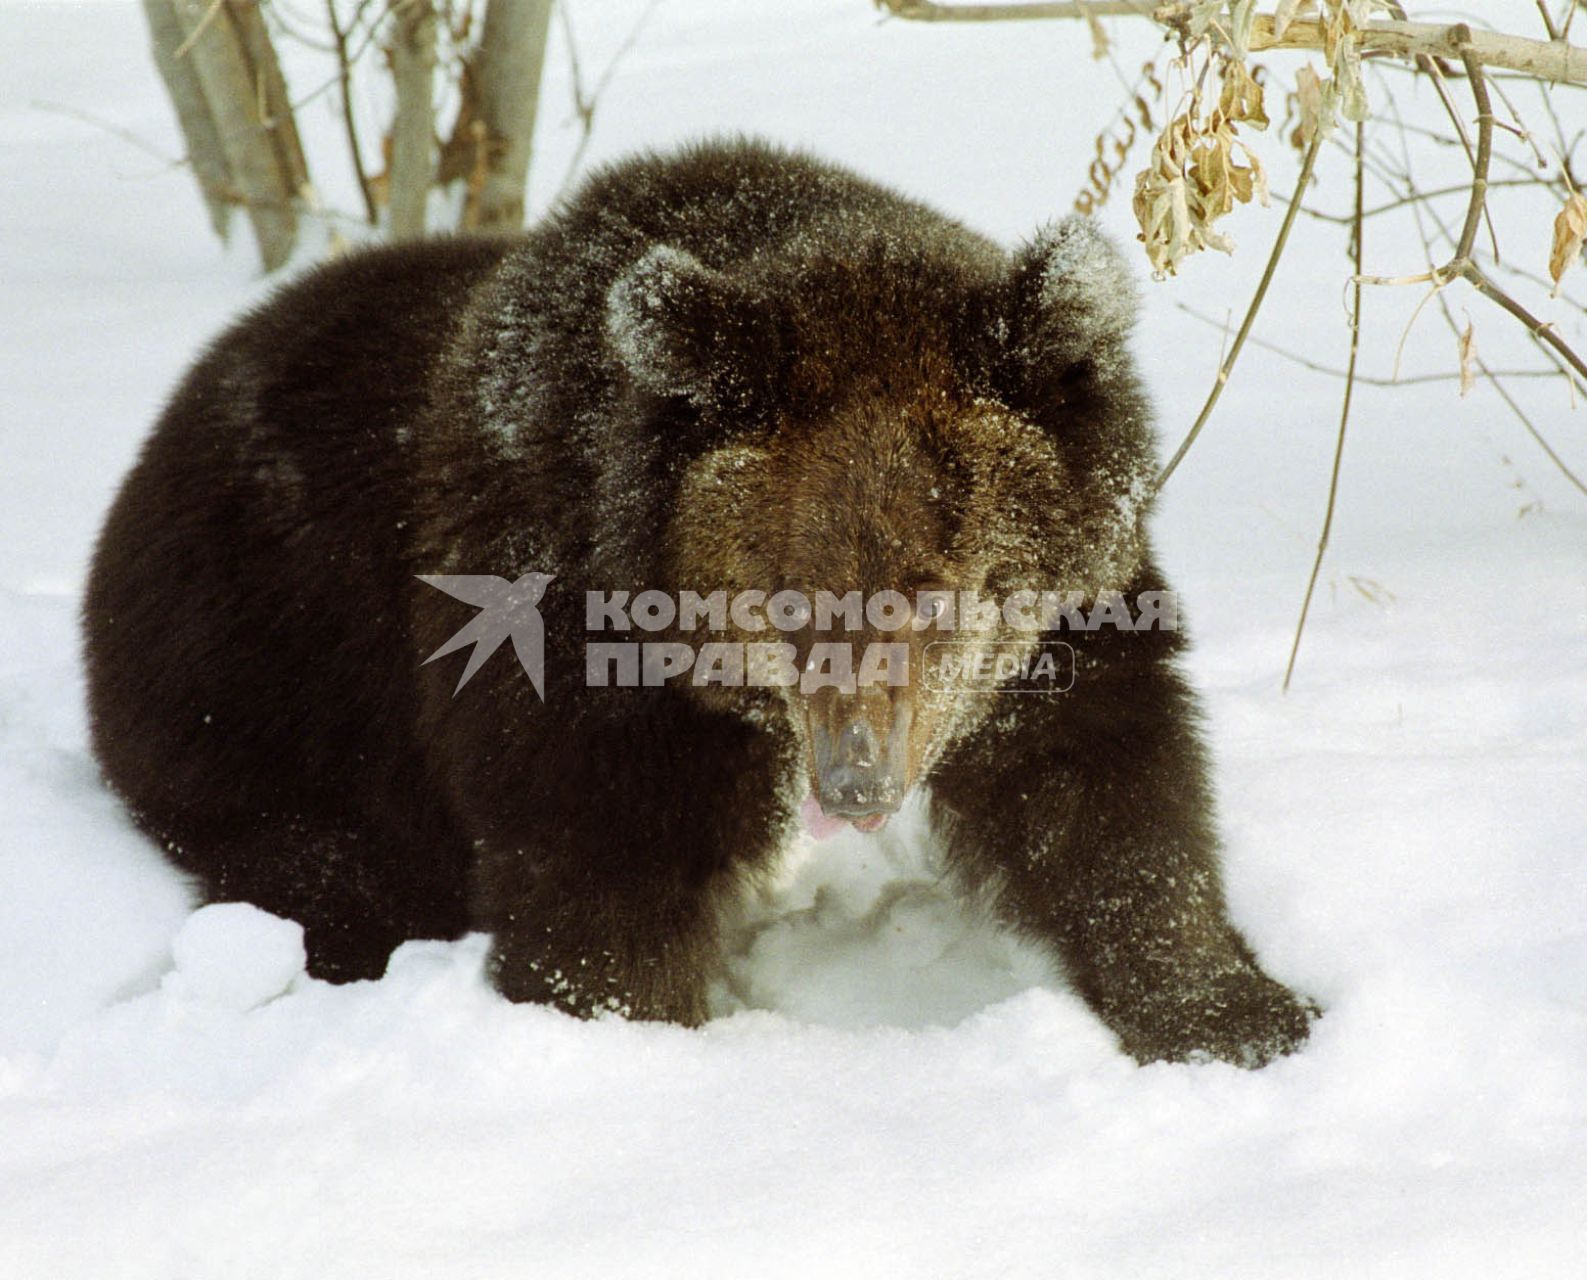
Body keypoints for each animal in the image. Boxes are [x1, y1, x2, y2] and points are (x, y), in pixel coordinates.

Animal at [83, 140, 1314, 1065]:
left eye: (939, 588)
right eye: (792, 593)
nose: (856, 783)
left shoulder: (1063, 632)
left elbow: (1107, 800)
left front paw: (1233, 1013)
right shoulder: (570, 654)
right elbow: (601, 883)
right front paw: (632, 1032)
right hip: (254, 682)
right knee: (320, 862)